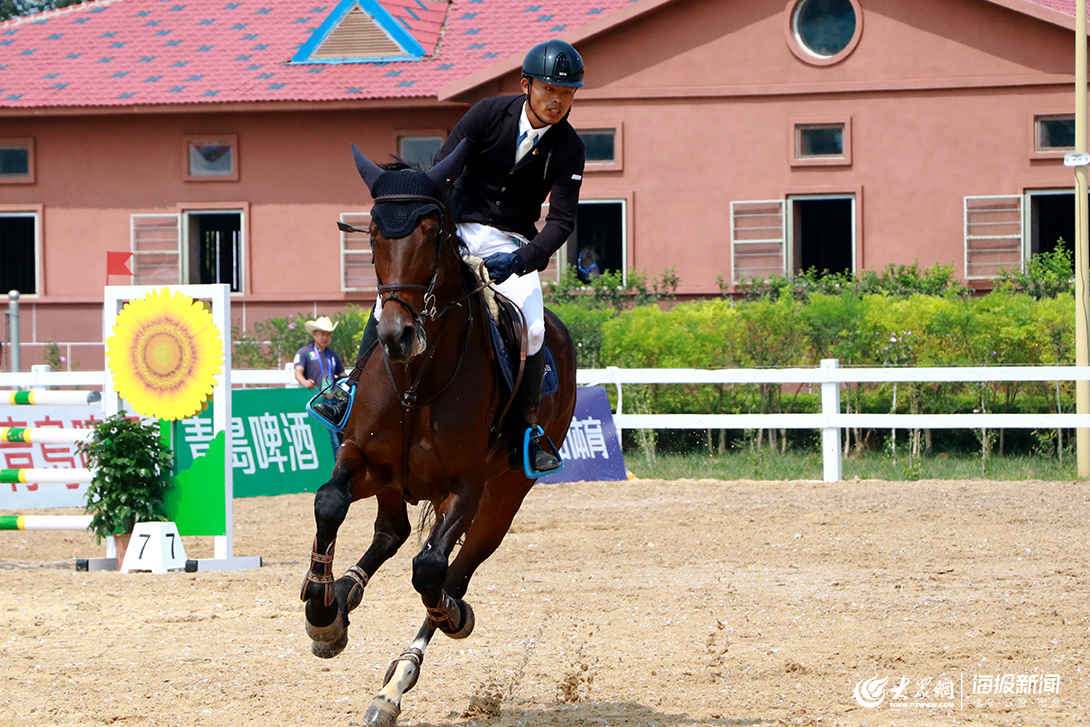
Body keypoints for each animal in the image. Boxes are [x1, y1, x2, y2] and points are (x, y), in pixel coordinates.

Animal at [298, 139, 579, 723]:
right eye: (374, 234)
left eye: (432, 234)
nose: (397, 335)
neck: (416, 381)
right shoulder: (363, 458)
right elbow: (329, 503)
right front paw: (322, 612)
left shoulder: (466, 488)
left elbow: (430, 570)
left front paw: (449, 615)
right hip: (393, 482)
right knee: (391, 532)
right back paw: (345, 595)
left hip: (506, 494)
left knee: (455, 566)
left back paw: (399, 679)